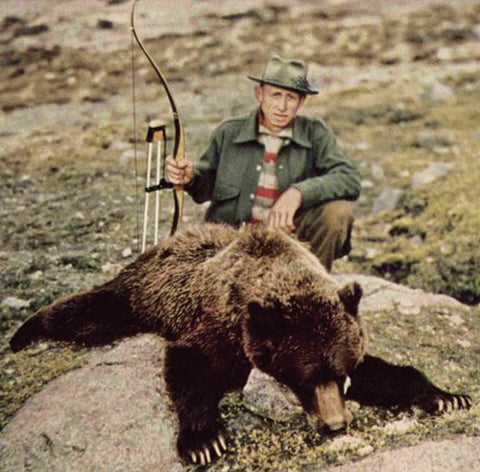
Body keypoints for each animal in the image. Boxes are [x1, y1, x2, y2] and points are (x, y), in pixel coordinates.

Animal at [10, 224, 472, 464]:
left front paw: (447, 396)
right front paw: (204, 441)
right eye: (303, 378)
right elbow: (190, 365)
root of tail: (166, 241)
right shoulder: (220, 327)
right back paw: (23, 332)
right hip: (137, 295)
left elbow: (384, 372)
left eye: (339, 375)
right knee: (87, 311)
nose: (335, 425)